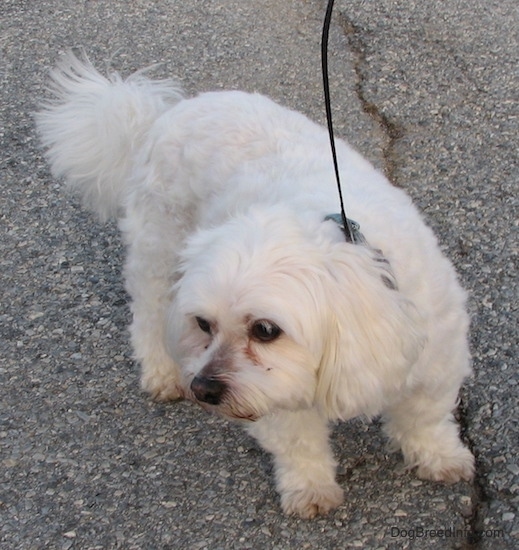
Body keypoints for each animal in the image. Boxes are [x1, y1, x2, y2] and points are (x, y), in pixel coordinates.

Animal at [36, 52, 476, 520]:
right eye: (204, 324)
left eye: (265, 329)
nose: (204, 389)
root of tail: (167, 113)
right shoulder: (272, 392)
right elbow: (297, 441)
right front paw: (309, 487)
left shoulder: (437, 359)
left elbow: (425, 416)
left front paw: (440, 456)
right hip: (159, 251)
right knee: (149, 315)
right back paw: (162, 371)